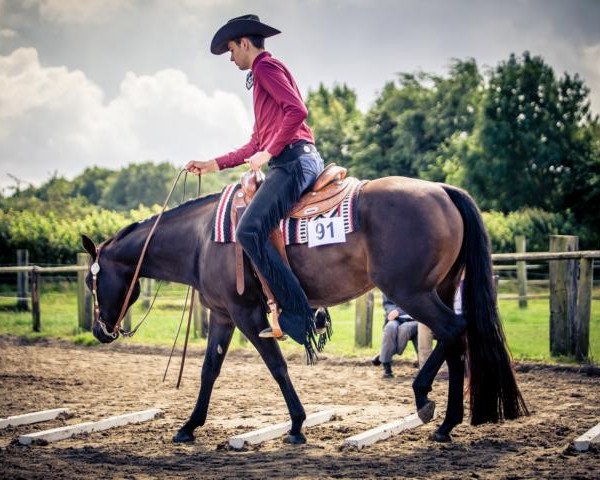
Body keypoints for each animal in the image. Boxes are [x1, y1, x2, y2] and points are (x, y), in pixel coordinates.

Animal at [82, 177, 528, 446]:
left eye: (91, 280)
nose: (101, 331)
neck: (204, 238)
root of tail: (441, 188)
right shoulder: (224, 317)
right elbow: (210, 370)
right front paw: (189, 426)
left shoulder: (247, 315)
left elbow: (277, 365)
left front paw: (297, 425)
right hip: (442, 288)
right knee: (457, 341)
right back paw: (446, 423)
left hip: (412, 292)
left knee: (453, 331)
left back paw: (426, 401)